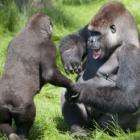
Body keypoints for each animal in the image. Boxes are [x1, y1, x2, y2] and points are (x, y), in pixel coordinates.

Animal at [60, 1, 140, 136]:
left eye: (97, 34)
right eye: (92, 32)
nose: (90, 40)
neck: (122, 41)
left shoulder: (132, 53)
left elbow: (129, 96)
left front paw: (81, 90)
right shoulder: (87, 28)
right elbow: (76, 36)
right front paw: (70, 57)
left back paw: (105, 132)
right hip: (88, 123)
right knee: (65, 94)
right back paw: (78, 129)